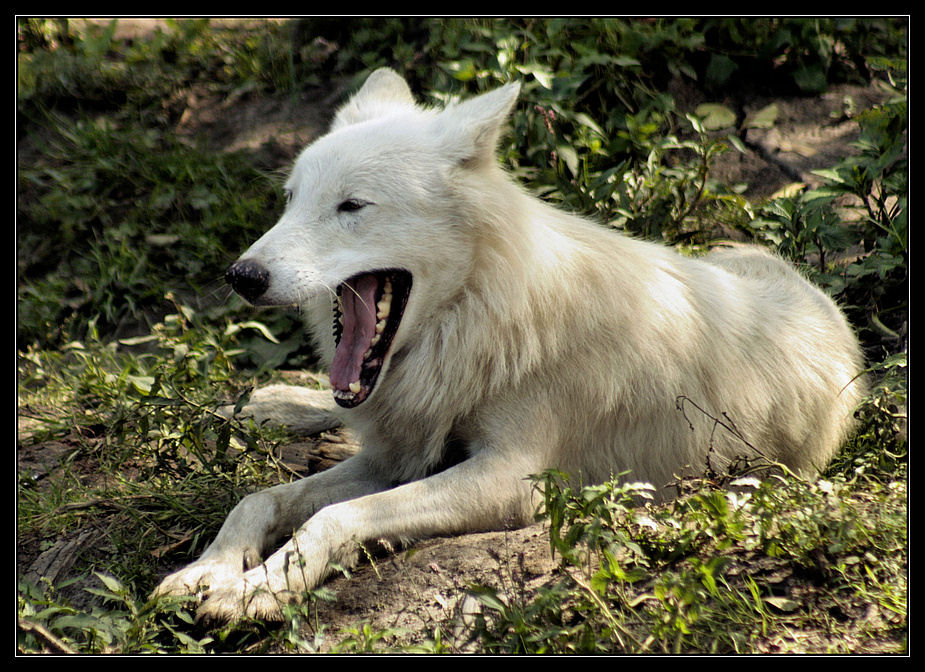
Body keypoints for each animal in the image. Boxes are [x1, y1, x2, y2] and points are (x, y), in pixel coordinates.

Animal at [153, 67, 868, 620]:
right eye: (290, 201)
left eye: (352, 206)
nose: (242, 276)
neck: (482, 317)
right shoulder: (400, 453)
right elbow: (261, 498)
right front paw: (205, 571)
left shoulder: (512, 479)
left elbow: (332, 518)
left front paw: (256, 589)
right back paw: (269, 403)